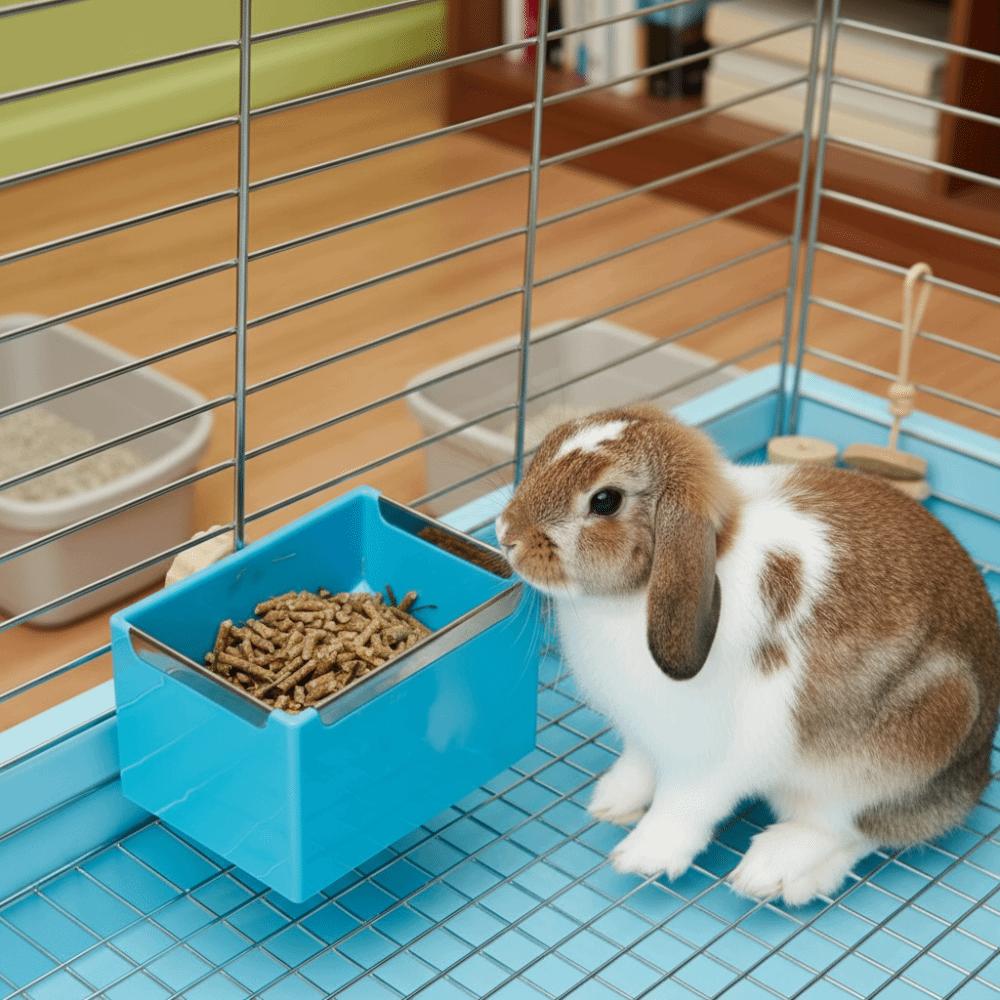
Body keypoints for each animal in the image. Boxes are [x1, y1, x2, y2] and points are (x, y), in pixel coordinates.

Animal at [495, 404, 1000, 905]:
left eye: (604, 501)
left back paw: (772, 872)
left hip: (897, 749)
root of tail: (973, 782)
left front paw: (642, 855)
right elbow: (639, 765)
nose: (506, 534)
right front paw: (612, 802)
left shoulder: (709, 760)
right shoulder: (644, 735)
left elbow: (682, 806)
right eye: (549, 445)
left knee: (856, 829)